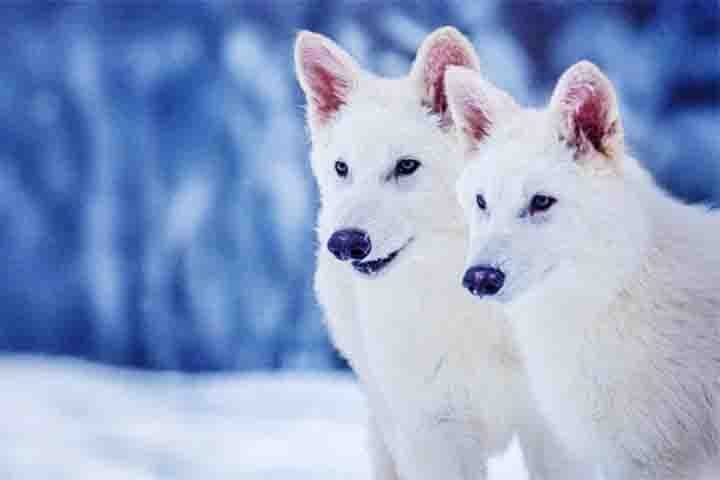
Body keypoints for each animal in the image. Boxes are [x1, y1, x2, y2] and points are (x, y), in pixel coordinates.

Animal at [294, 27, 587, 480]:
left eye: (406, 166)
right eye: (342, 168)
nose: (344, 243)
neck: (471, 310)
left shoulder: (552, 433)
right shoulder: (434, 434)